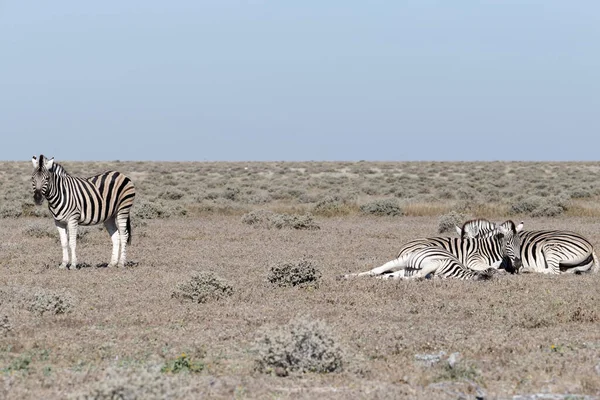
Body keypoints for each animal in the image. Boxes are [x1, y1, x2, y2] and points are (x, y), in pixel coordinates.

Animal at [344, 222, 524, 282]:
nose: (519, 262)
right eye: (508, 243)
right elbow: (490, 268)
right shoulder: (473, 260)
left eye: (520, 243)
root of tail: (404, 246)